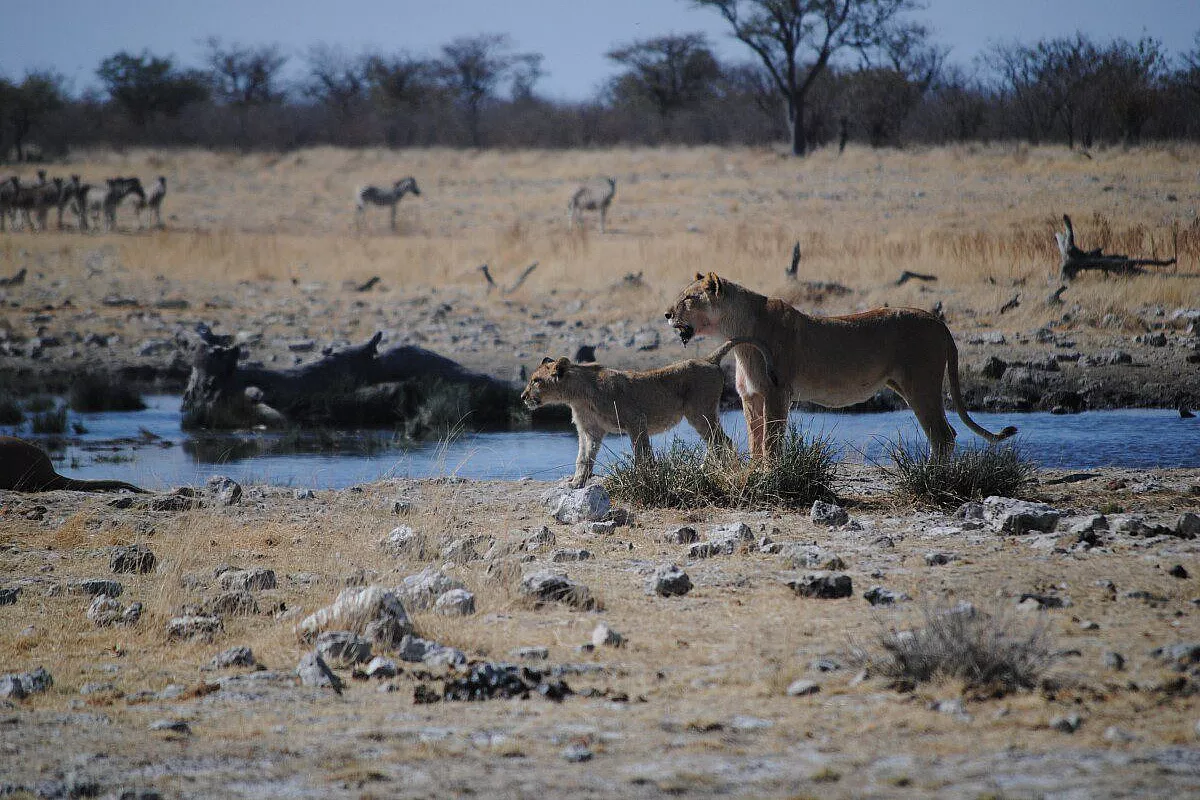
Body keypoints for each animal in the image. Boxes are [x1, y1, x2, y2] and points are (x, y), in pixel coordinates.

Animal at [521, 338, 776, 488]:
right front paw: (576, 483)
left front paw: (644, 478)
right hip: (702, 414)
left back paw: (715, 470)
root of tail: (708, 359)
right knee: (715, 442)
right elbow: (583, 458)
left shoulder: (636, 421)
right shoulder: (591, 431)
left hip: (699, 412)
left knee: (723, 441)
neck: (576, 395)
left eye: (536, 381)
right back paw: (705, 469)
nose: (523, 396)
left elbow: (642, 455)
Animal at [664, 273, 1017, 459]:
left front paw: (768, 477)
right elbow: (755, 440)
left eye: (689, 298)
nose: (667, 314)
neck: (738, 332)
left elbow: (772, 441)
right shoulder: (751, 396)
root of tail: (938, 321)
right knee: (945, 433)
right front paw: (753, 473)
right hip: (909, 386)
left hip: (922, 384)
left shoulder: (777, 392)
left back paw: (931, 479)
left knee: (943, 435)